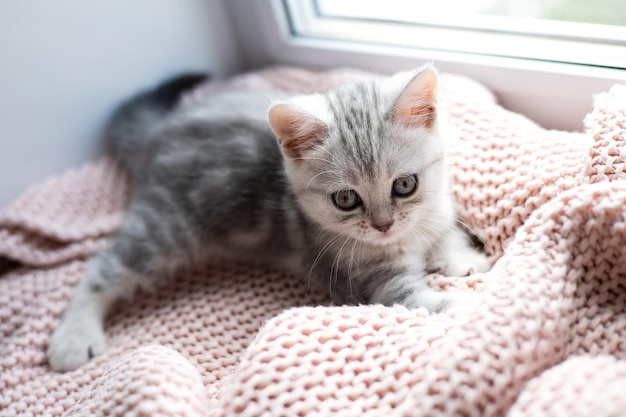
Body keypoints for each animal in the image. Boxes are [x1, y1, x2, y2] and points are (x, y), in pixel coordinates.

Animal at [47, 65, 488, 370]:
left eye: (405, 185)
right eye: (346, 199)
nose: (383, 225)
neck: (402, 238)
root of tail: (165, 129)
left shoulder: (435, 206)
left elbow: (442, 227)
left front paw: (460, 257)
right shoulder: (369, 284)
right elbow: (419, 301)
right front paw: (471, 306)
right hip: (167, 226)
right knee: (104, 266)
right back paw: (72, 337)